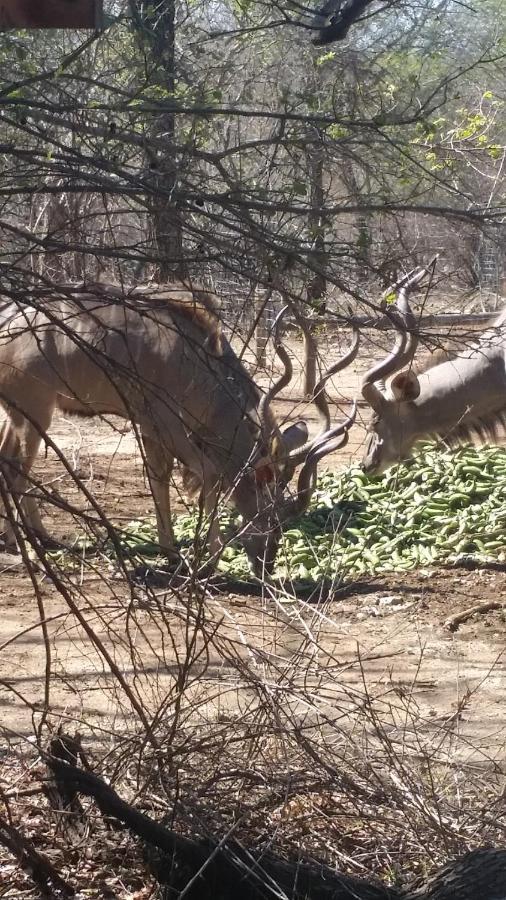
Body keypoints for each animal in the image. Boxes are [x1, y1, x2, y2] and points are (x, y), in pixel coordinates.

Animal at [0, 282, 358, 576]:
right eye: (269, 515)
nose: (265, 565)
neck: (193, 358)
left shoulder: (148, 426)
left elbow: (159, 479)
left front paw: (172, 552)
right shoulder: (166, 423)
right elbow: (208, 474)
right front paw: (208, 559)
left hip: (17, 415)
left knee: (8, 462)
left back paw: (29, 540)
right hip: (35, 413)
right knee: (17, 471)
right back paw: (30, 552)